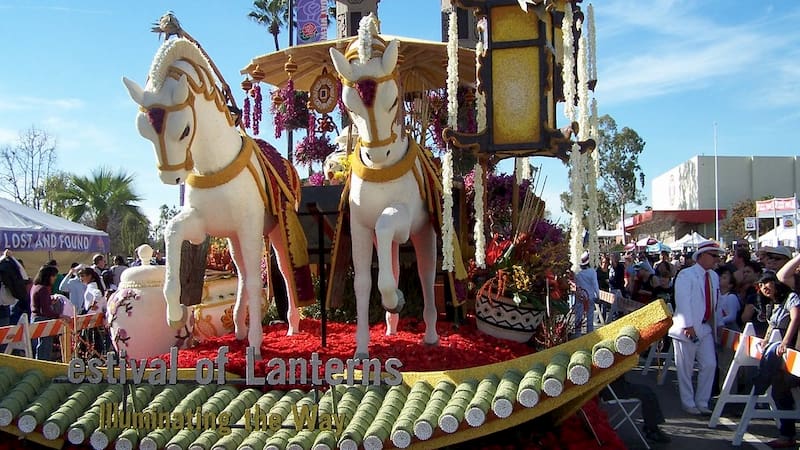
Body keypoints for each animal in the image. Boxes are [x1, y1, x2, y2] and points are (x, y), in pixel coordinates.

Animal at [123, 37, 314, 356]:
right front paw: (175, 313)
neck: (216, 161)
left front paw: (256, 344)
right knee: (240, 274)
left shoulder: (250, 226)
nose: (171, 178)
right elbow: (172, 231)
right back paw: (238, 327)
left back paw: (291, 327)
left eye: (184, 130)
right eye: (143, 130)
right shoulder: (203, 226)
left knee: (285, 271)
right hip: (233, 238)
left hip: (277, 229)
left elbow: (257, 281)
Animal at [332, 14, 444, 358]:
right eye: (349, 106)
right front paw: (361, 348)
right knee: (392, 261)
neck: (381, 171)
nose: (378, 155)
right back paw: (392, 326)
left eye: (394, 100)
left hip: (425, 233)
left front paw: (396, 298)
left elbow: (385, 227)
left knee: (426, 274)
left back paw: (430, 334)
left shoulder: (404, 221)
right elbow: (363, 282)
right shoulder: (357, 226)